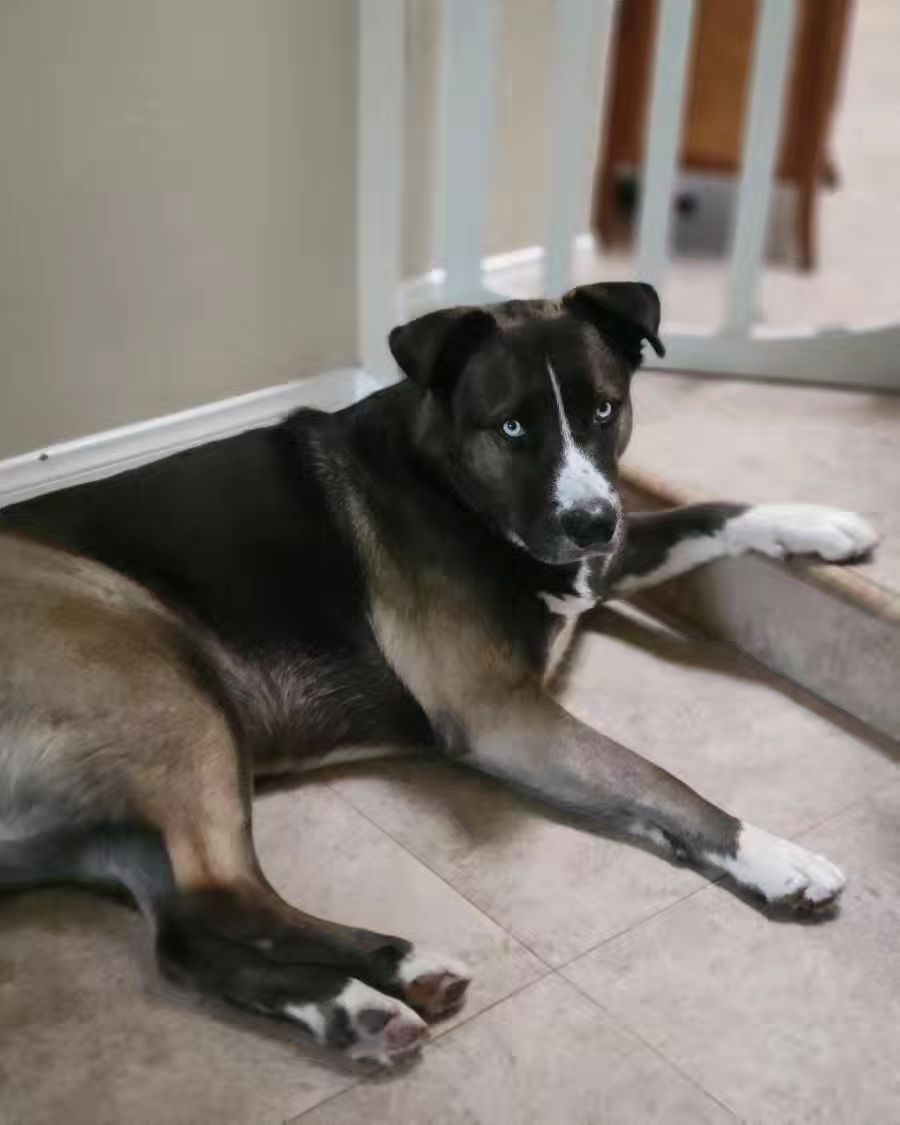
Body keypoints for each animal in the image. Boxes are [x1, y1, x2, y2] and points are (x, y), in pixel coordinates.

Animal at [0, 281, 877, 1062]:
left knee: (184, 939)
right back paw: (399, 965)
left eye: (603, 409)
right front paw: (771, 853)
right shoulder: (502, 717)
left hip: (119, 816)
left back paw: (348, 1009)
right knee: (221, 898)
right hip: (166, 680)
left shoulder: (599, 559)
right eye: (513, 425)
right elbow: (659, 779)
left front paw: (817, 523)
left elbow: (703, 514)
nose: (590, 520)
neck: (454, 484)